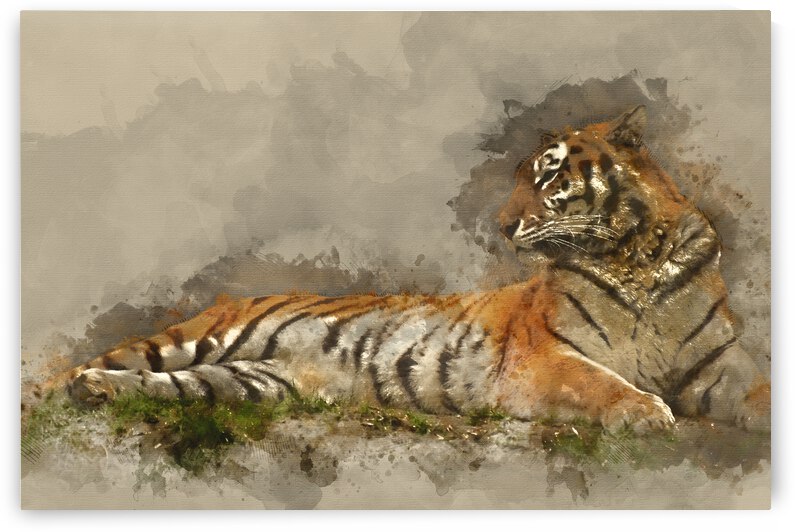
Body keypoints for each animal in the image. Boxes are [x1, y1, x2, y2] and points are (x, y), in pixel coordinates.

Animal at [40, 106, 770, 433]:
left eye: (547, 175)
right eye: (522, 177)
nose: (501, 224)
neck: (633, 258)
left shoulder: (716, 364)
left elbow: (759, 393)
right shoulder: (543, 359)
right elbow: (598, 383)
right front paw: (647, 412)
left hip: (250, 382)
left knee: (167, 387)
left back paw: (96, 393)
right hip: (191, 337)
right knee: (102, 366)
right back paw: (67, 390)